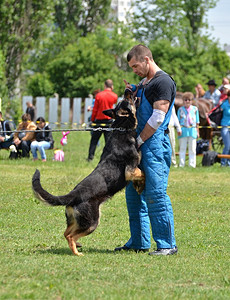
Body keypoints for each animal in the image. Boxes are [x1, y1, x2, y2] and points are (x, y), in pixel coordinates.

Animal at [31, 91, 145, 255]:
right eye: (127, 99)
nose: (127, 90)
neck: (122, 127)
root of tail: (72, 195)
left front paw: (139, 187)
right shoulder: (130, 171)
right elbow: (143, 173)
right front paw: (142, 184)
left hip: (77, 221)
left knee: (66, 233)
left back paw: (77, 246)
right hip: (92, 222)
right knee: (71, 235)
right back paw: (77, 252)